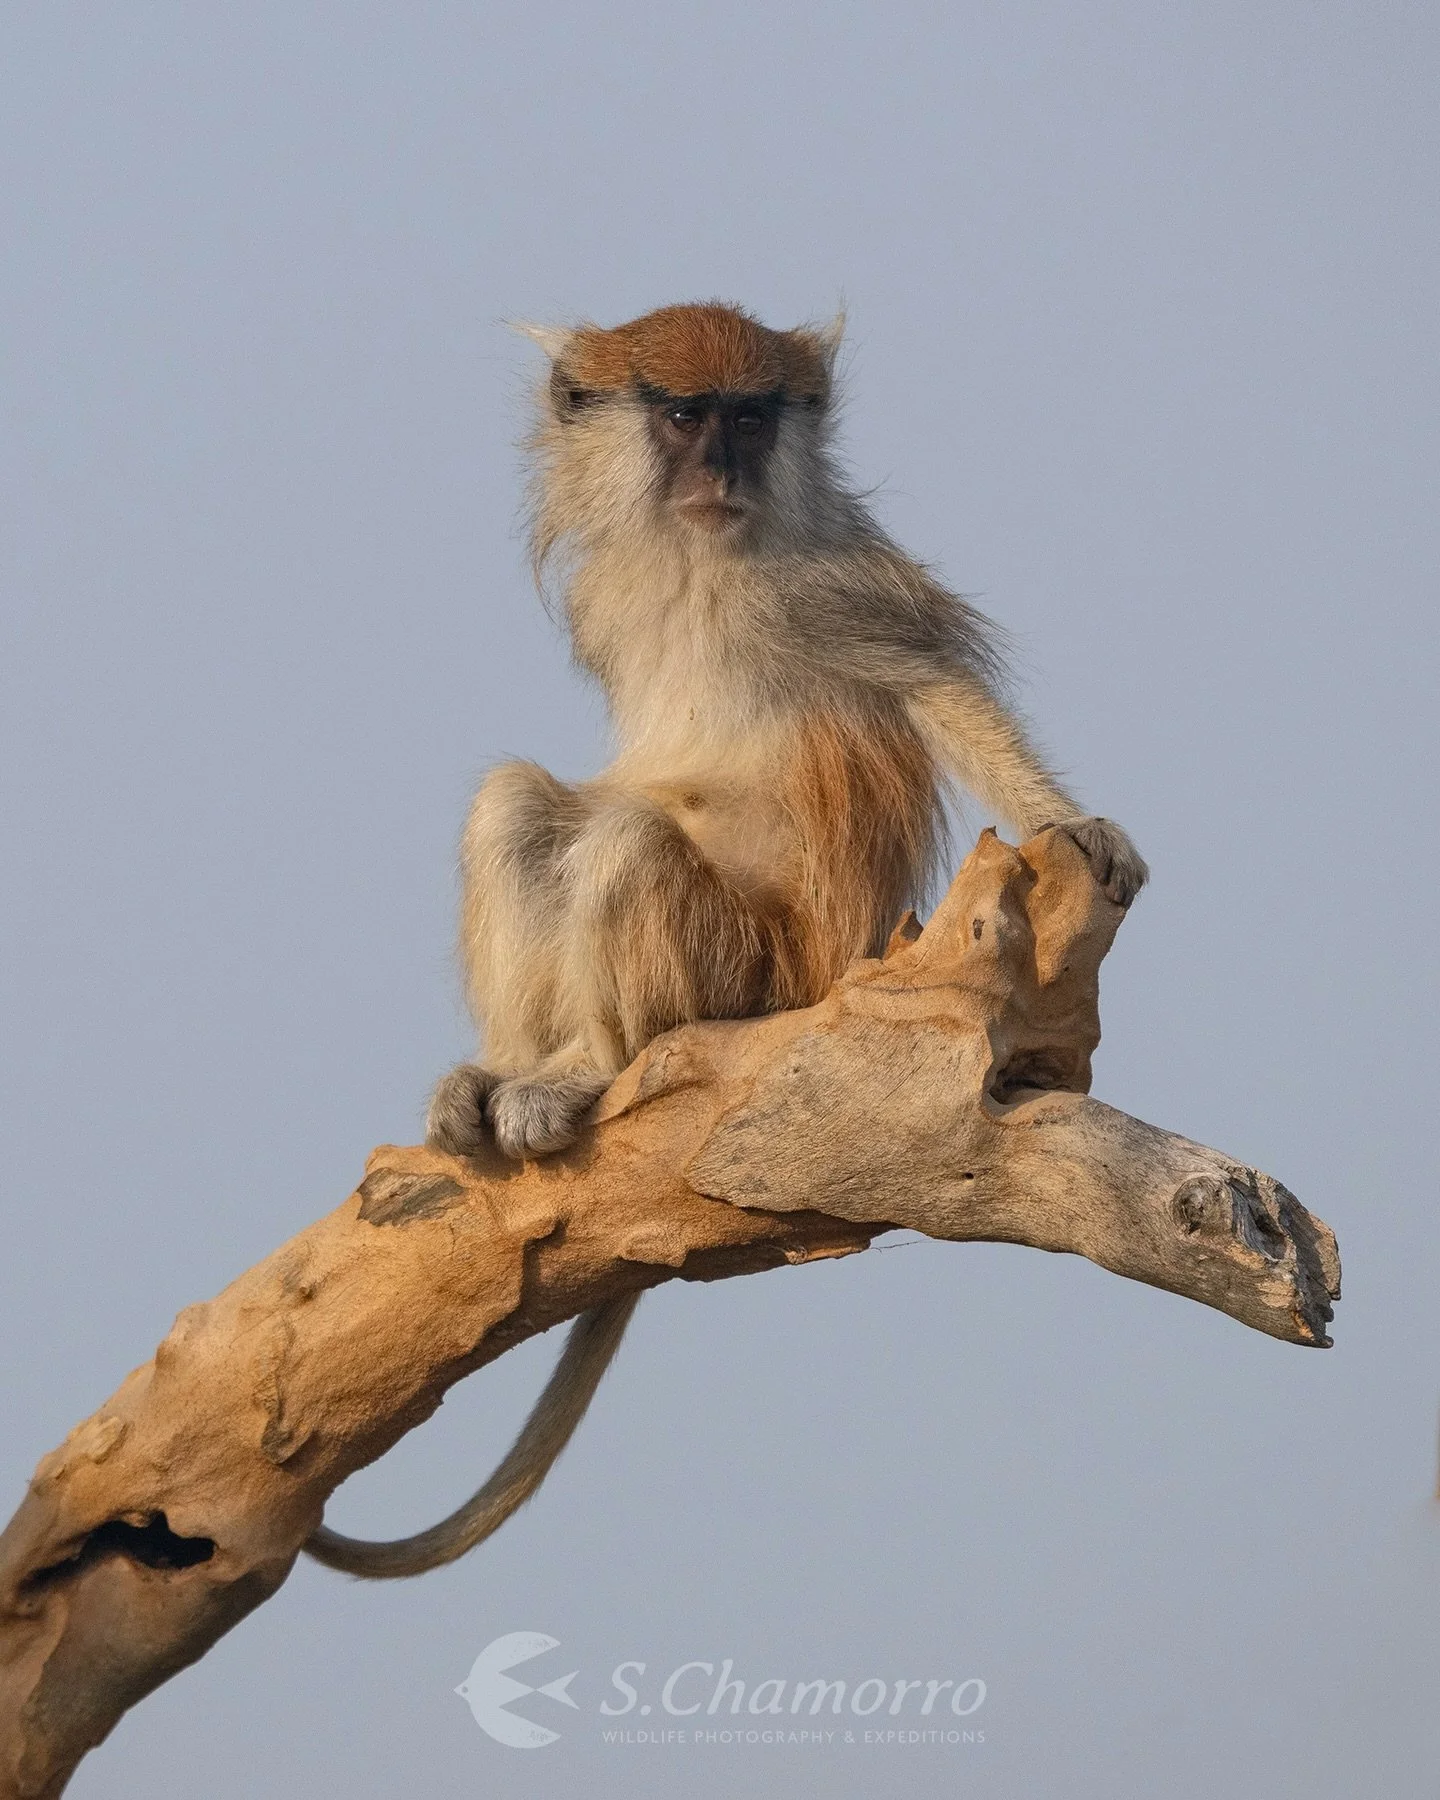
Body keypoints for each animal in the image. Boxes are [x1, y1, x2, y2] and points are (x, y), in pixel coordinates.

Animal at [303, 302, 1146, 1579]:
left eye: (752, 417)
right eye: (686, 414)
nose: (718, 468)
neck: (702, 558)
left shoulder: (820, 588)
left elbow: (937, 687)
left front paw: (1075, 822)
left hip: (749, 972)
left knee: (625, 843)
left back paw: (583, 1073)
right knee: (517, 806)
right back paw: (505, 1073)